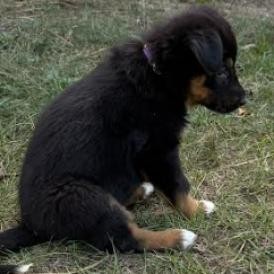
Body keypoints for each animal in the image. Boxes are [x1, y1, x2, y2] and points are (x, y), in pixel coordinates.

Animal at [0, 4, 246, 262]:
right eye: (222, 72)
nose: (244, 99)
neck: (157, 75)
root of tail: (32, 226)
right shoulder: (159, 149)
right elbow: (178, 185)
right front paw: (195, 209)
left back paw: (141, 190)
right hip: (81, 196)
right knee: (123, 238)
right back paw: (178, 238)